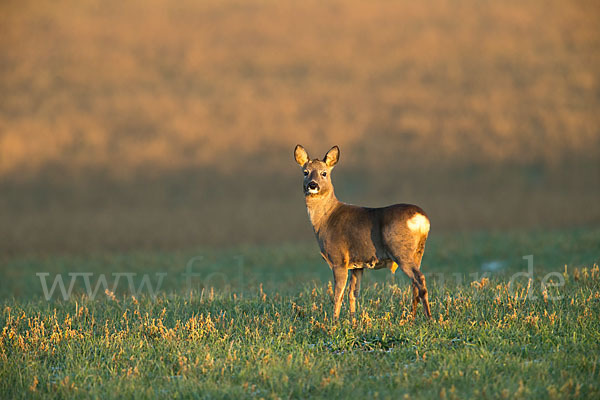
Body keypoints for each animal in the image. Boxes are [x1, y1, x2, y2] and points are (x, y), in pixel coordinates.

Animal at [294, 145, 432, 320]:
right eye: (305, 172)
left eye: (324, 173)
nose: (312, 184)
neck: (326, 219)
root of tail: (422, 219)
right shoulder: (357, 264)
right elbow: (353, 293)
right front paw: (353, 320)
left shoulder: (338, 259)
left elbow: (338, 295)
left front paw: (334, 321)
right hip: (418, 251)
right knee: (415, 283)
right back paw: (412, 318)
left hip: (401, 251)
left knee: (419, 279)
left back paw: (429, 318)